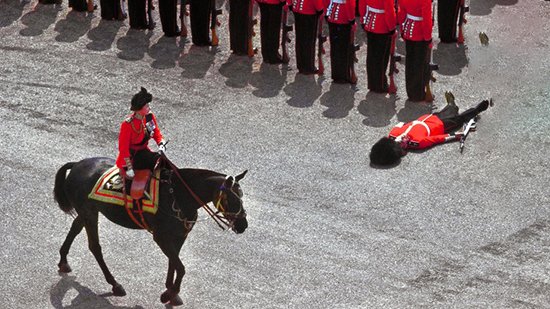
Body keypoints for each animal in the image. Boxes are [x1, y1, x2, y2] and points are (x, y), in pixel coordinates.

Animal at [53, 156, 248, 306]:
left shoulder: (179, 237)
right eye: (231, 198)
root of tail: (77, 164)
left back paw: (63, 260)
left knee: (75, 229)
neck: (178, 195)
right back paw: (115, 284)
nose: (243, 225)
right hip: (90, 213)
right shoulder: (161, 238)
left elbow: (174, 263)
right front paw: (170, 293)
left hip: (87, 212)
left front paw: (171, 292)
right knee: (95, 247)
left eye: (242, 196)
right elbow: (180, 267)